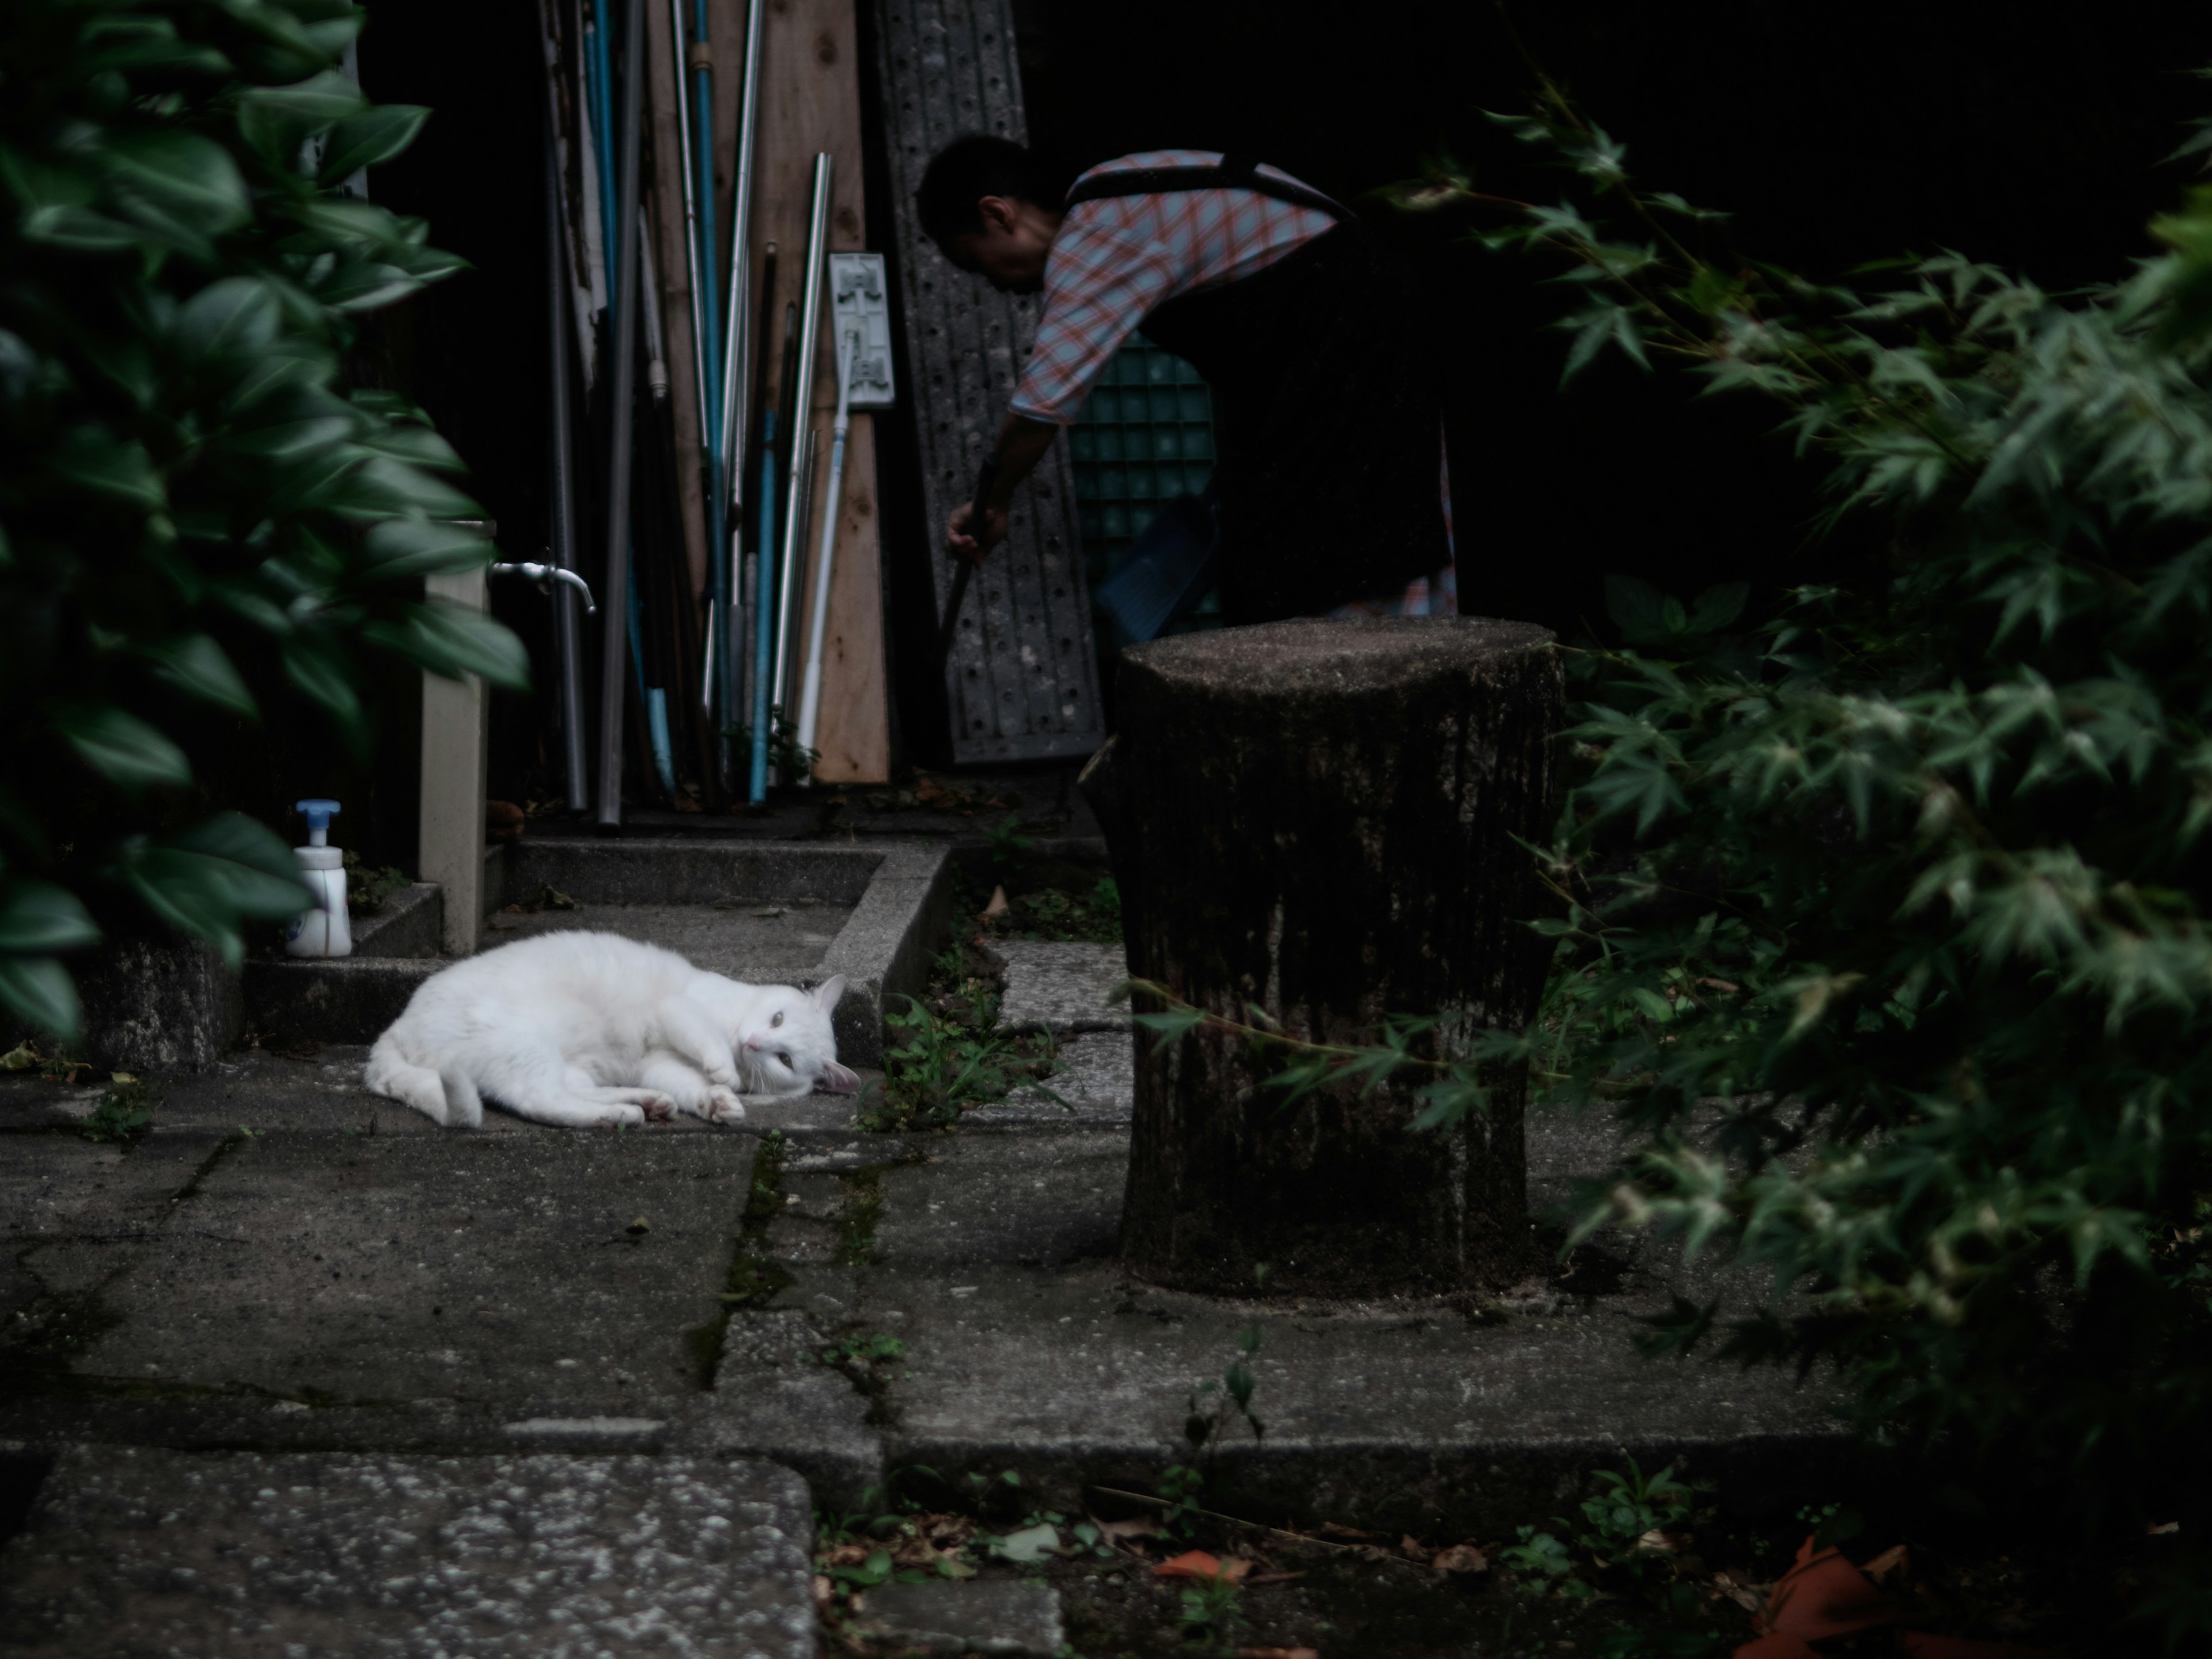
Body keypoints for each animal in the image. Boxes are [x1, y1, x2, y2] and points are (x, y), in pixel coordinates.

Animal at [362, 938, 854, 1132]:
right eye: (777, 1019)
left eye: (785, 1060)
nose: (753, 1045)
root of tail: (397, 1026)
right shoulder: (678, 1009)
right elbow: (706, 1041)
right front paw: (724, 1076)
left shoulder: (659, 1063)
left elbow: (690, 1084)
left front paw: (718, 1102)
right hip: (526, 1043)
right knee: (538, 1100)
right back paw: (625, 1114)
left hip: (562, 1062)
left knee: (565, 1092)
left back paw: (640, 1106)